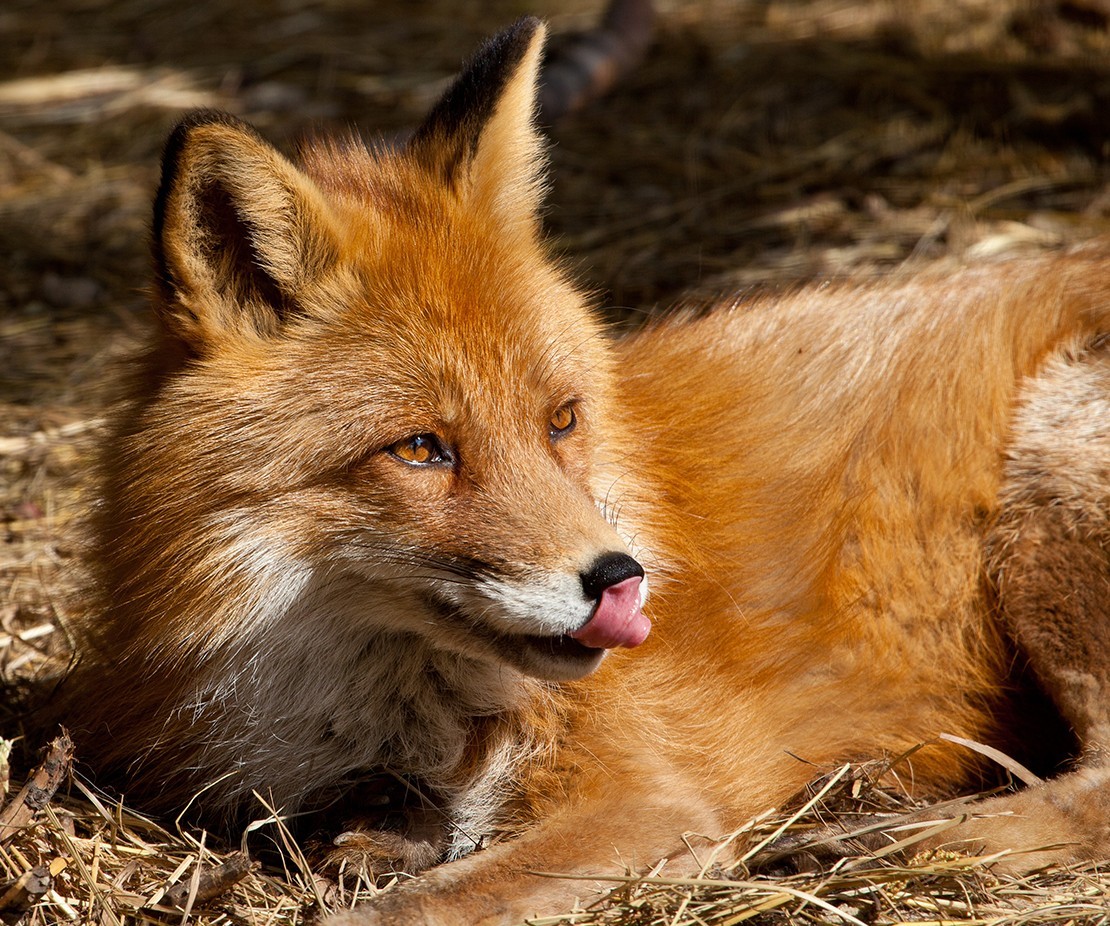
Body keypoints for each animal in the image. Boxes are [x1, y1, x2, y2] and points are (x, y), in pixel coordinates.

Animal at [62, 14, 1110, 923]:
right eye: (420, 448)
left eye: (560, 420)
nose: (619, 578)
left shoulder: (650, 802)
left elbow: (412, 907)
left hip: (1046, 501)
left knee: (1096, 791)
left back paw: (899, 839)